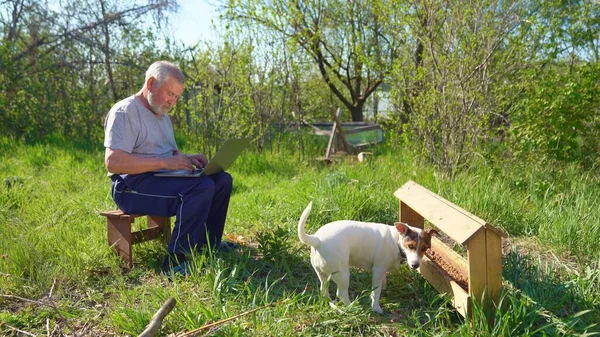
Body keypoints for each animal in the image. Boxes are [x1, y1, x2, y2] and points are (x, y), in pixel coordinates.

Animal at [298, 200, 438, 312]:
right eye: (410, 246)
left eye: (425, 248)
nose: (415, 265)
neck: (396, 240)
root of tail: (317, 240)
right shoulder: (378, 270)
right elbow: (376, 291)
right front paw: (376, 306)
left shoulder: (381, 270)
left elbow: (381, 284)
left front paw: (383, 288)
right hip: (343, 274)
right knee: (341, 293)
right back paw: (352, 306)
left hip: (323, 274)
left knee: (323, 289)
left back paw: (329, 301)